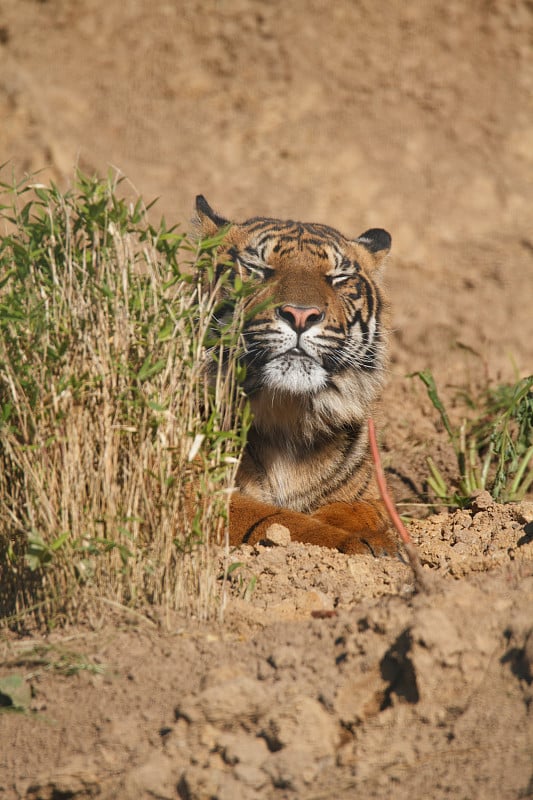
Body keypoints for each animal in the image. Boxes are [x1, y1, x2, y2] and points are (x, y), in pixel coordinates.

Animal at [197, 195, 396, 556]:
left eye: (337, 277)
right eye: (257, 269)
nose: (301, 315)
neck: (289, 413)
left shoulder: (370, 492)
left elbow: (364, 506)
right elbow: (279, 519)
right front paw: (362, 542)